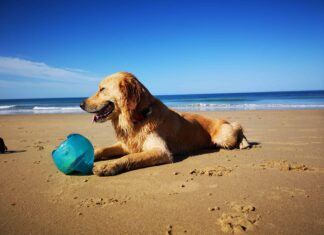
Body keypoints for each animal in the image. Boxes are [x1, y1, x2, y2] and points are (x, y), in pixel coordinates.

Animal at [79, 71, 249, 176]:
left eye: (102, 89)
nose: (81, 104)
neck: (137, 119)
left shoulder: (161, 151)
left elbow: (129, 158)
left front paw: (108, 166)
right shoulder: (126, 145)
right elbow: (102, 149)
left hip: (224, 136)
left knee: (238, 126)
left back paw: (244, 143)